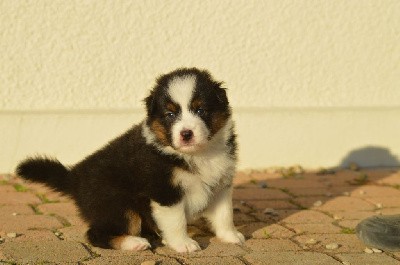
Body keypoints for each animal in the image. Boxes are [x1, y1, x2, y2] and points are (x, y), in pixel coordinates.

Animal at [16, 67, 244, 252]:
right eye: (170, 114)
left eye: (200, 110)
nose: (186, 134)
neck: (197, 154)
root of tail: (75, 177)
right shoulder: (165, 191)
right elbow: (176, 220)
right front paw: (183, 244)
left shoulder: (221, 185)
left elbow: (225, 215)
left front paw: (231, 237)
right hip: (118, 204)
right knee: (96, 234)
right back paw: (134, 243)